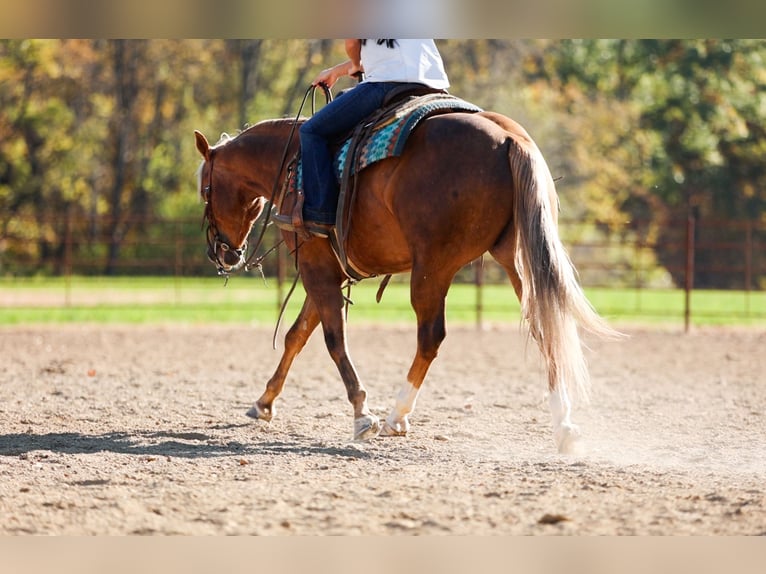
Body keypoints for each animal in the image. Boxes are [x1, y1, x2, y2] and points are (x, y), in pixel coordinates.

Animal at [194, 108, 618, 454]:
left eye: (205, 190)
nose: (222, 253)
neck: (290, 163)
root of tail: (509, 139)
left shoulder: (315, 265)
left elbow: (332, 339)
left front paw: (362, 414)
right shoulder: (325, 267)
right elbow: (297, 334)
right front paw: (264, 402)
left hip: (433, 267)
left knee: (430, 337)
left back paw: (397, 415)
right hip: (516, 259)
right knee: (545, 327)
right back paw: (564, 426)